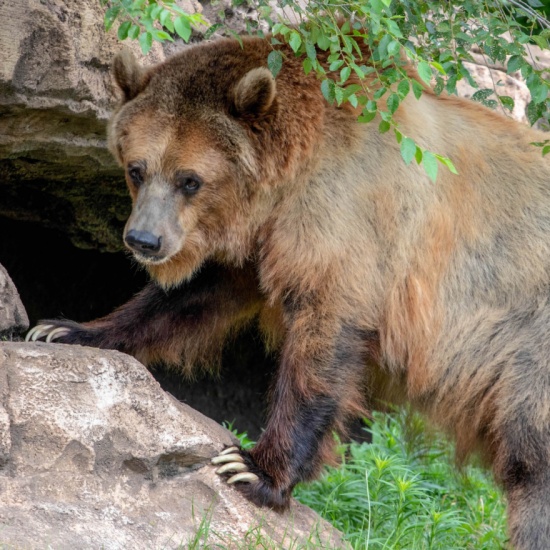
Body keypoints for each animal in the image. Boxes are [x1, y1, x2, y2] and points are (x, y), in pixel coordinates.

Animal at [27, 33, 550, 548]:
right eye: (137, 168)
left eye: (190, 180)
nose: (144, 240)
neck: (285, 181)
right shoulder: (261, 243)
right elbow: (190, 299)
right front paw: (64, 329)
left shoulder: (348, 222)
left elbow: (321, 345)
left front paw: (254, 468)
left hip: (525, 349)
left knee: (531, 462)